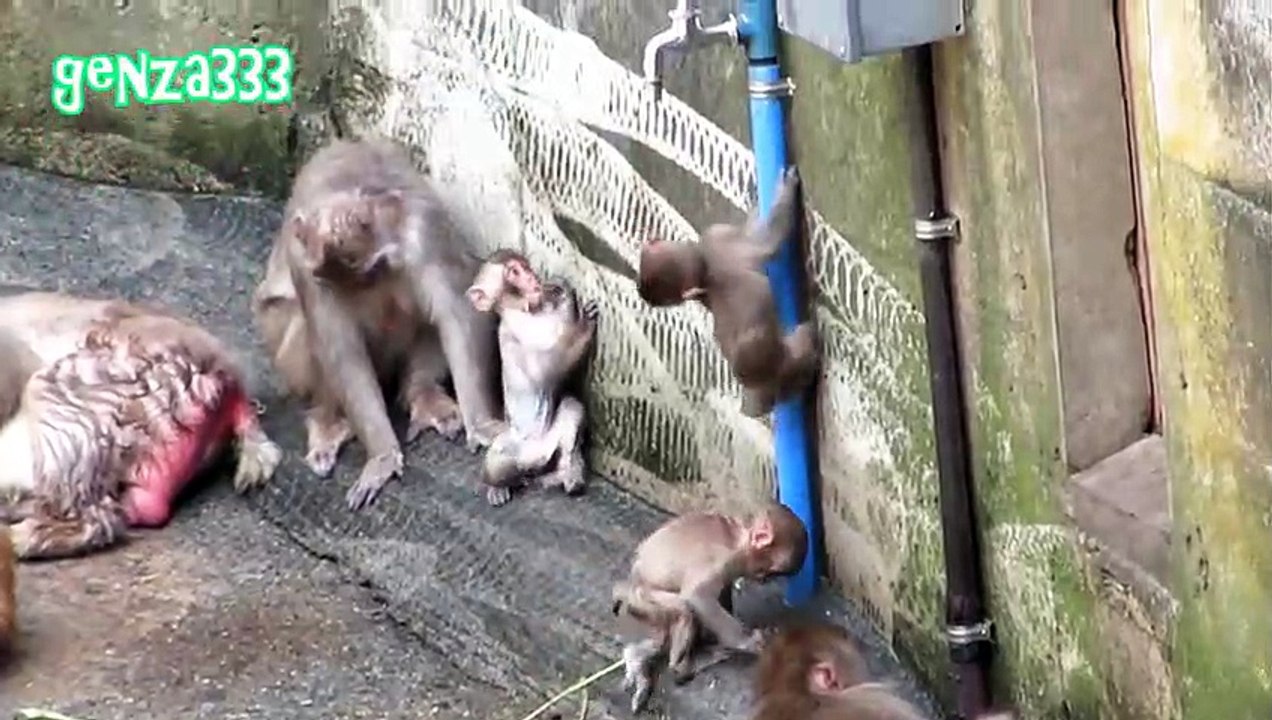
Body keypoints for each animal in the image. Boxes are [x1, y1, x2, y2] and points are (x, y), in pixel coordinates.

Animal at [251, 137, 506, 510]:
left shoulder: (423, 230)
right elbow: (341, 349)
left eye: (374, 270)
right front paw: (382, 456)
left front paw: (483, 425)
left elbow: (456, 314)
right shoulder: (305, 264)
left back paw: (421, 393)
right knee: (302, 323)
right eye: (327, 278)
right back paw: (328, 420)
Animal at [465, 250, 598, 506]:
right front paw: (583, 324)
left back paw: (569, 475)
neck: (527, 313)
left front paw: (561, 290)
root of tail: (536, 460)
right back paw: (497, 487)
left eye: (526, 267)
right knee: (496, 461)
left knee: (572, 408)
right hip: (515, 446)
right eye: (514, 272)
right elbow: (549, 370)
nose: (532, 277)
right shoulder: (518, 335)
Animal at [610, 502, 808, 712]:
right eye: (769, 571)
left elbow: (723, 590)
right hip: (642, 598)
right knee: (683, 611)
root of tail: (628, 583)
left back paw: (638, 659)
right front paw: (749, 640)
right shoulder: (721, 559)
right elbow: (698, 595)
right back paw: (680, 665)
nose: (764, 579)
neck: (737, 536)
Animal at [636, 167, 819, 418]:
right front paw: (787, 188)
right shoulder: (722, 240)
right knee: (797, 349)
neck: (702, 272)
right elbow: (768, 242)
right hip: (782, 366)